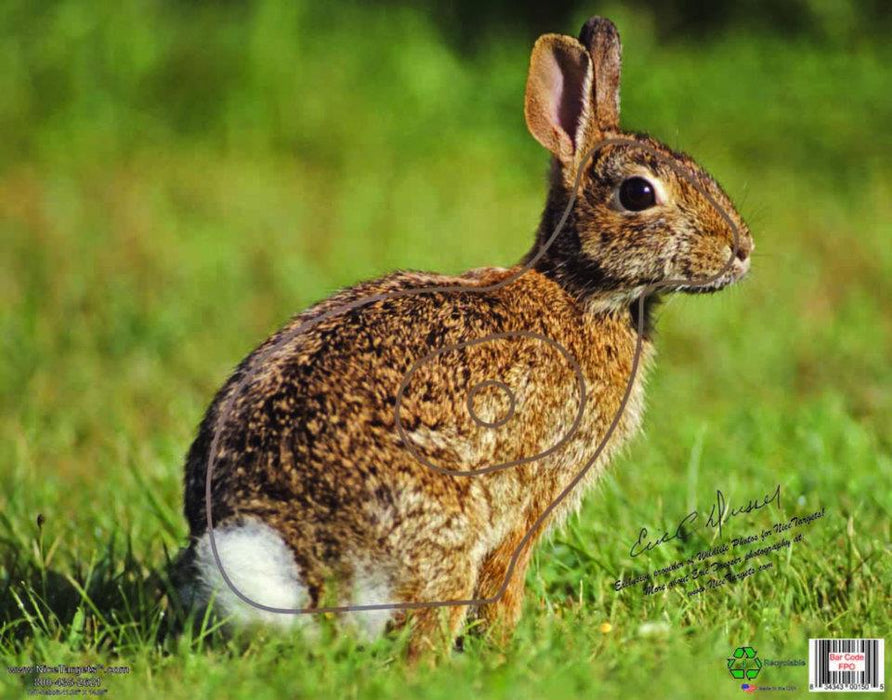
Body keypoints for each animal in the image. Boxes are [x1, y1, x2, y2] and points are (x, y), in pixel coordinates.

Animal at [174, 16, 753, 658]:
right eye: (638, 193)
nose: (742, 250)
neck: (580, 294)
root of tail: (289, 556)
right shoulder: (530, 496)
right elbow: (505, 581)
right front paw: (506, 649)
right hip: (446, 529)